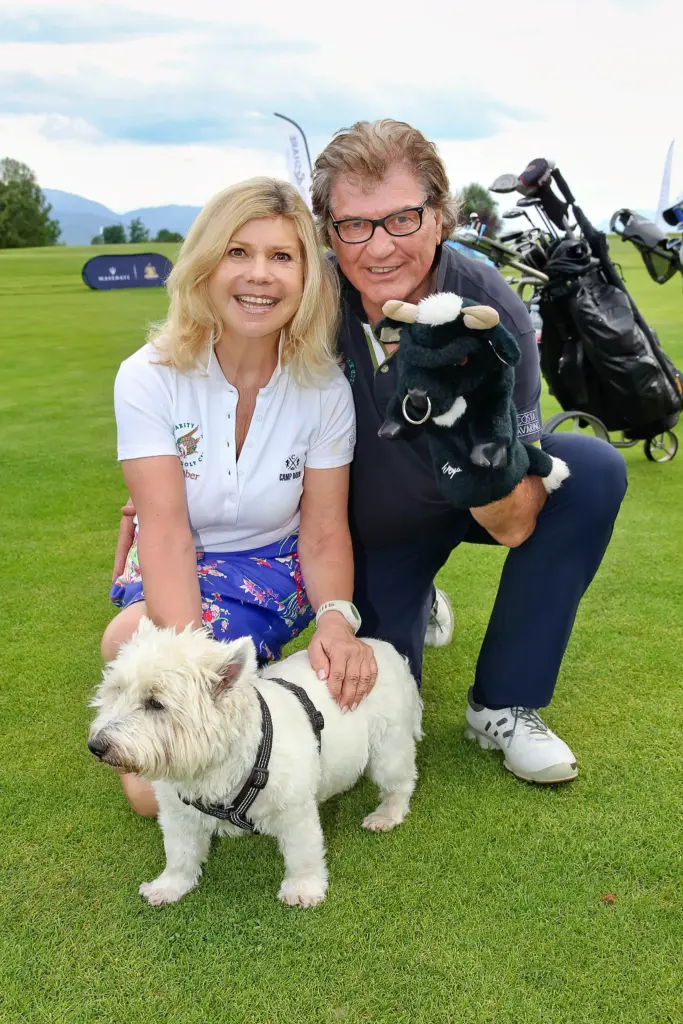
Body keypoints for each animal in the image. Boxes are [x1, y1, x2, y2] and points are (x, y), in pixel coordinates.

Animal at [88, 618, 422, 908]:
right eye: (116, 691)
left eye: (155, 703)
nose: (96, 746)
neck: (215, 767)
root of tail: (387, 650)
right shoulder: (177, 811)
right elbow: (179, 852)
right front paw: (168, 887)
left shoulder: (294, 810)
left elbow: (302, 851)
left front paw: (303, 889)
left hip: (388, 749)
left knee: (401, 781)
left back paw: (385, 816)